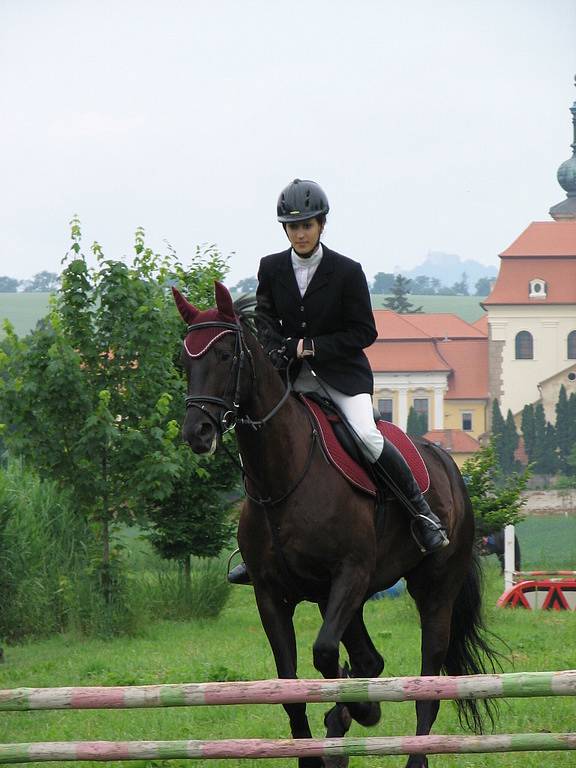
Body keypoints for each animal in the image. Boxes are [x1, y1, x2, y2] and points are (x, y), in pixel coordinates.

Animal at [172, 284, 500, 768]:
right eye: (184, 359)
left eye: (227, 354)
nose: (198, 432)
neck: (284, 477)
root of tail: (448, 463)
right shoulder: (273, 594)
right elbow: (292, 687)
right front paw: (319, 746)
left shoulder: (349, 574)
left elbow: (326, 655)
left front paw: (362, 710)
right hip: (349, 598)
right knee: (369, 661)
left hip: (432, 589)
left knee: (428, 680)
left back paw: (403, 747)